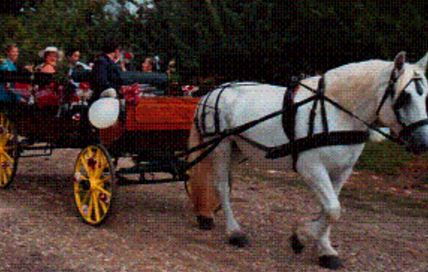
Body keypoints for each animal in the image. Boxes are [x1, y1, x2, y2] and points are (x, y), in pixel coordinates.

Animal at [189, 51, 428, 270]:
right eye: (404, 97)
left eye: (425, 96)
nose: (423, 143)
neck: (337, 112)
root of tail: (212, 92)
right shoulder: (311, 168)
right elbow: (333, 209)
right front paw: (301, 237)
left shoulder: (342, 171)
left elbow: (329, 209)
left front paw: (324, 249)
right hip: (220, 146)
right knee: (221, 186)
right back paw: (234, 232)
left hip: (237, 149)